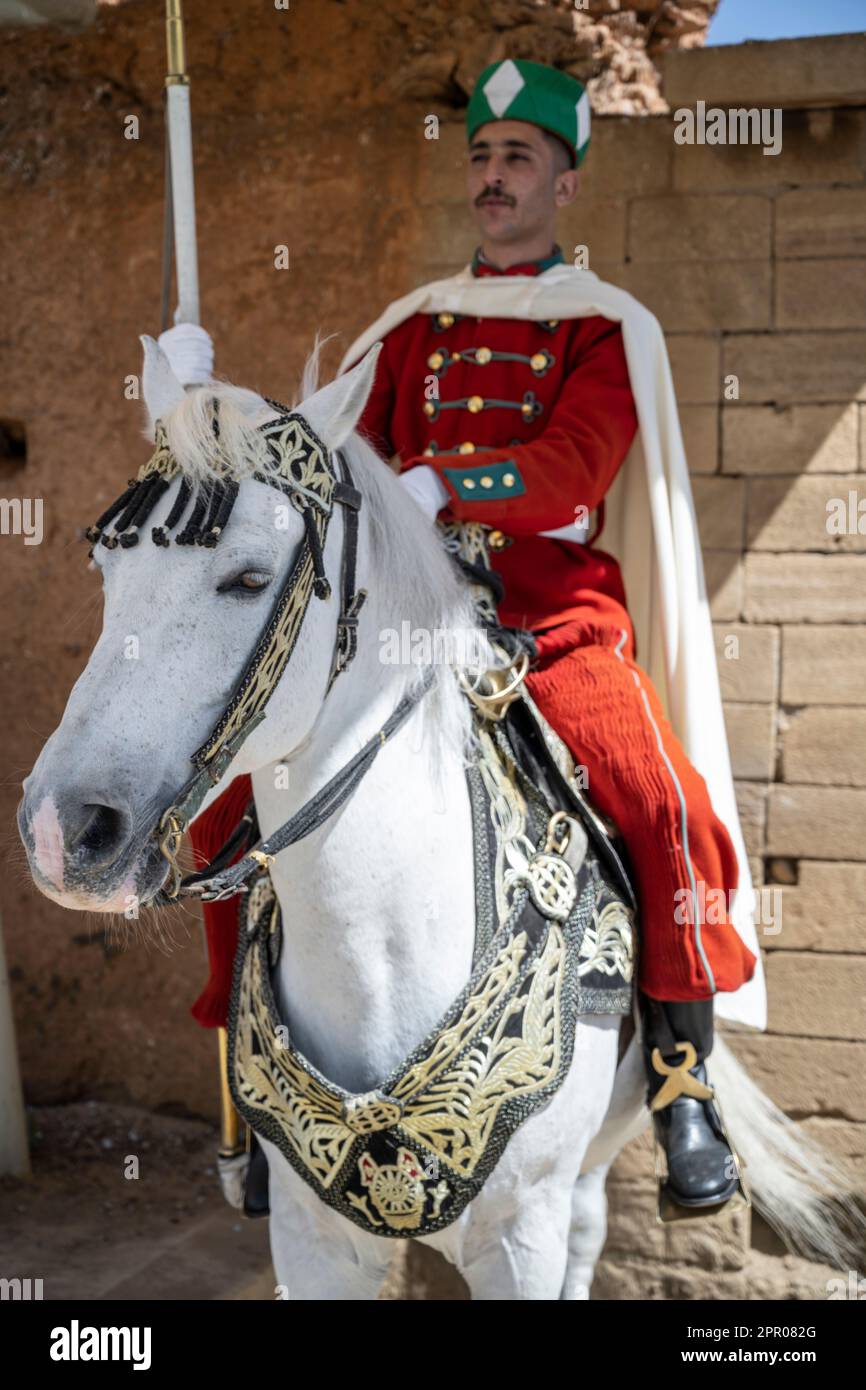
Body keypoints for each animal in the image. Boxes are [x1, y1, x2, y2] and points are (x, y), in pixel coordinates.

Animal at [20, 341, 861, 1295]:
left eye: (250, 578)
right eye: (106, 570)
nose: (64, 830)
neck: (383, 947)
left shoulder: (520, 1235)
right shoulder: (312, 1240)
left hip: (592, 1167)